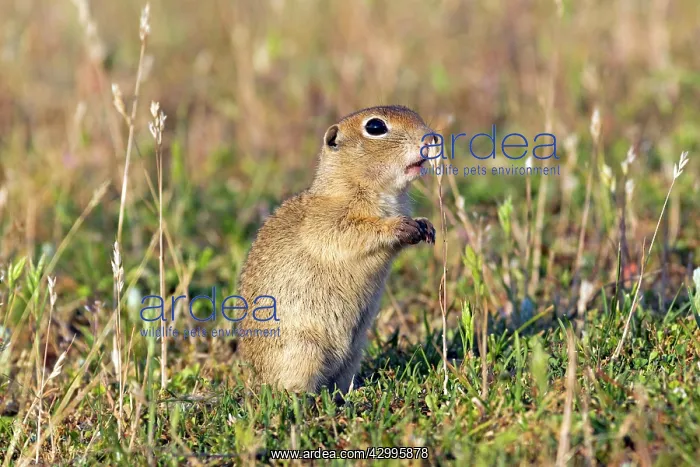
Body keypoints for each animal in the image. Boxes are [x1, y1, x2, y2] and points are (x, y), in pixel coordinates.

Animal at [237, 105, 436, 395]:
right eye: (375, 127)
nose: (431, 138)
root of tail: (254, 381)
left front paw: (425, 225)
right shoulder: (329, 221)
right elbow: (350, 232)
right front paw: (401, 226)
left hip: (353, 353)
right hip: (305, 351)